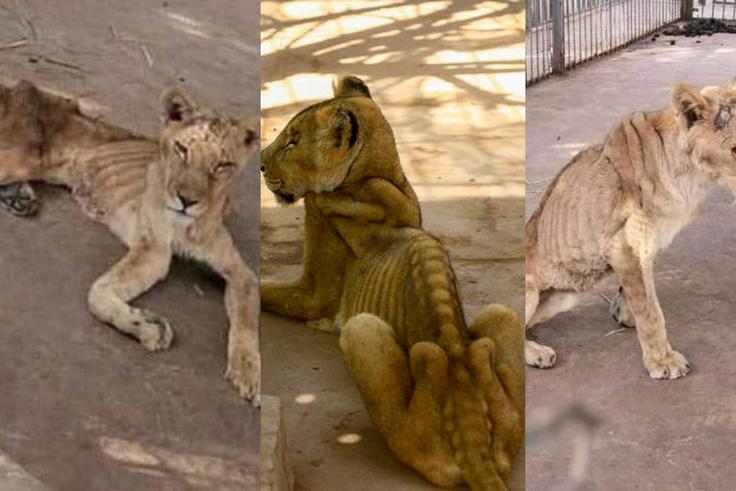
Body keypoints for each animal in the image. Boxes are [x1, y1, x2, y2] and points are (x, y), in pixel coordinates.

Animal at [0, 80, 260, 404]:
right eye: (182, 149)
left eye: (223, 165)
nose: (187, 201)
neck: (187, 226)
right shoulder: (153, 251)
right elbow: (98, 294)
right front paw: (150, 327)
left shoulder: (240, 273)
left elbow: (247, 320)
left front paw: (248, 372)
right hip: (19, 156)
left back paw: (19, 198)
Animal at [261, 75, 524, 490]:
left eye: (292, 142)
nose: (258, 164)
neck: (376, 177)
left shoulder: (313, 290)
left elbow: (265, 287)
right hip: (504, 318)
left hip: (360, 330)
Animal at [526, 79, 736, 380]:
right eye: (735, 150)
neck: (693, 177)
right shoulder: (626, 246)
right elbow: (649, 310)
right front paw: (662, 360)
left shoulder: (641, 246)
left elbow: (637, 294)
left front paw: (623, 313)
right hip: (531, 289)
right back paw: (538, 353)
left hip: (564, 297)